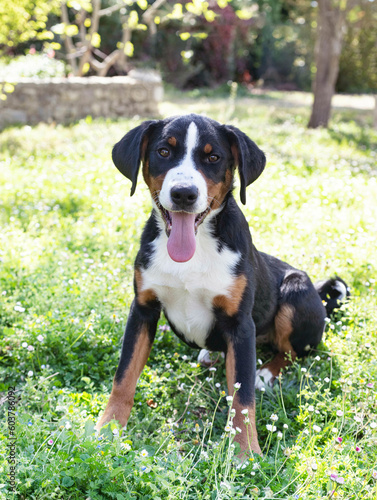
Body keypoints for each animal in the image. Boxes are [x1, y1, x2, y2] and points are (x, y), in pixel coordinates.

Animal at [95, 114, 348, 458]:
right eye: (163, 151)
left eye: (213, 157)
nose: (184, 193)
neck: (195, 248)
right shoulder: (143, 310)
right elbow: (124, 376)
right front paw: (106, 431)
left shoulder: (240, 325)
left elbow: (243, 398)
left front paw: (246, 453)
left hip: (294, 291)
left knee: (293, 353)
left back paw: (266, 372)